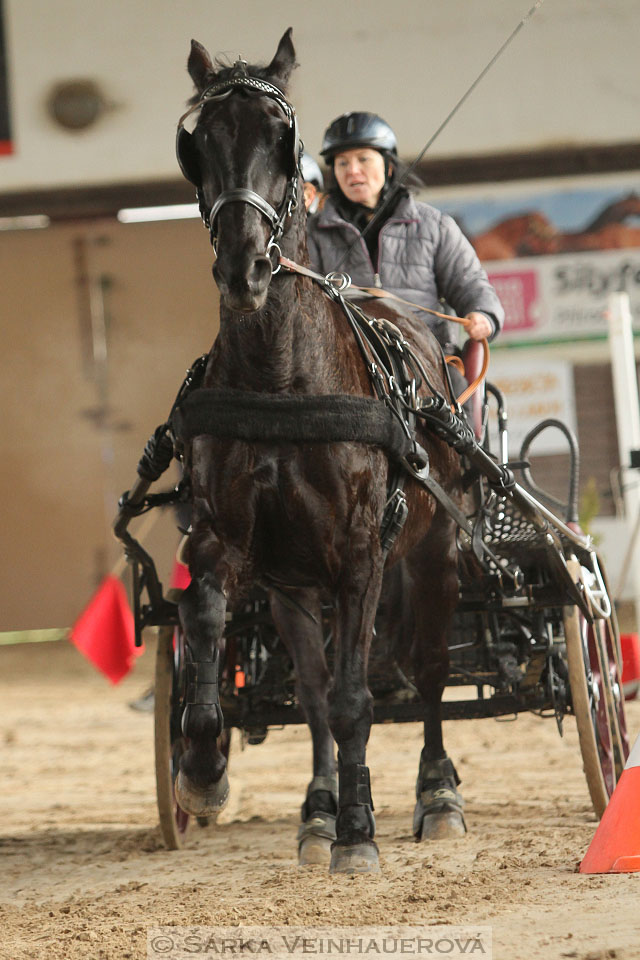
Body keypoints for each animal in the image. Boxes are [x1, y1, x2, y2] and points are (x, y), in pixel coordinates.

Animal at [172, 30, 468, 872]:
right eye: (200, 143)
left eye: (283, 137)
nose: (244, 269)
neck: (282, 380)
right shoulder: (244, 545)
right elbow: (211, 620)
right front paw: (205, 770)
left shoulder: (361, 552)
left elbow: (354, 698)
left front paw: (360, 833)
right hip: (299, 583)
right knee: (309, 688)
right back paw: (317, 808)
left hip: (431, 553)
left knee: (427, 671)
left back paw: (437, 795)